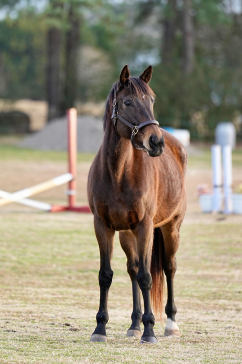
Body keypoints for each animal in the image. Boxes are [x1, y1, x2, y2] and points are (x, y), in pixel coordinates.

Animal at [87, 65, 187, 344]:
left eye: (151, 100)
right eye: (128, 102)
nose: (156, 142)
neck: (119, 172)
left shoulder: (144, 227)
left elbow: (146, 277)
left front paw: (149, 330)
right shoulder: (103, 227)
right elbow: (106, 275)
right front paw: (100, 328)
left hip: (170, 229)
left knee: (168, 268)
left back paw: (170, 324)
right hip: (126, 234)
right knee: (132, 269)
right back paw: (134, 324)